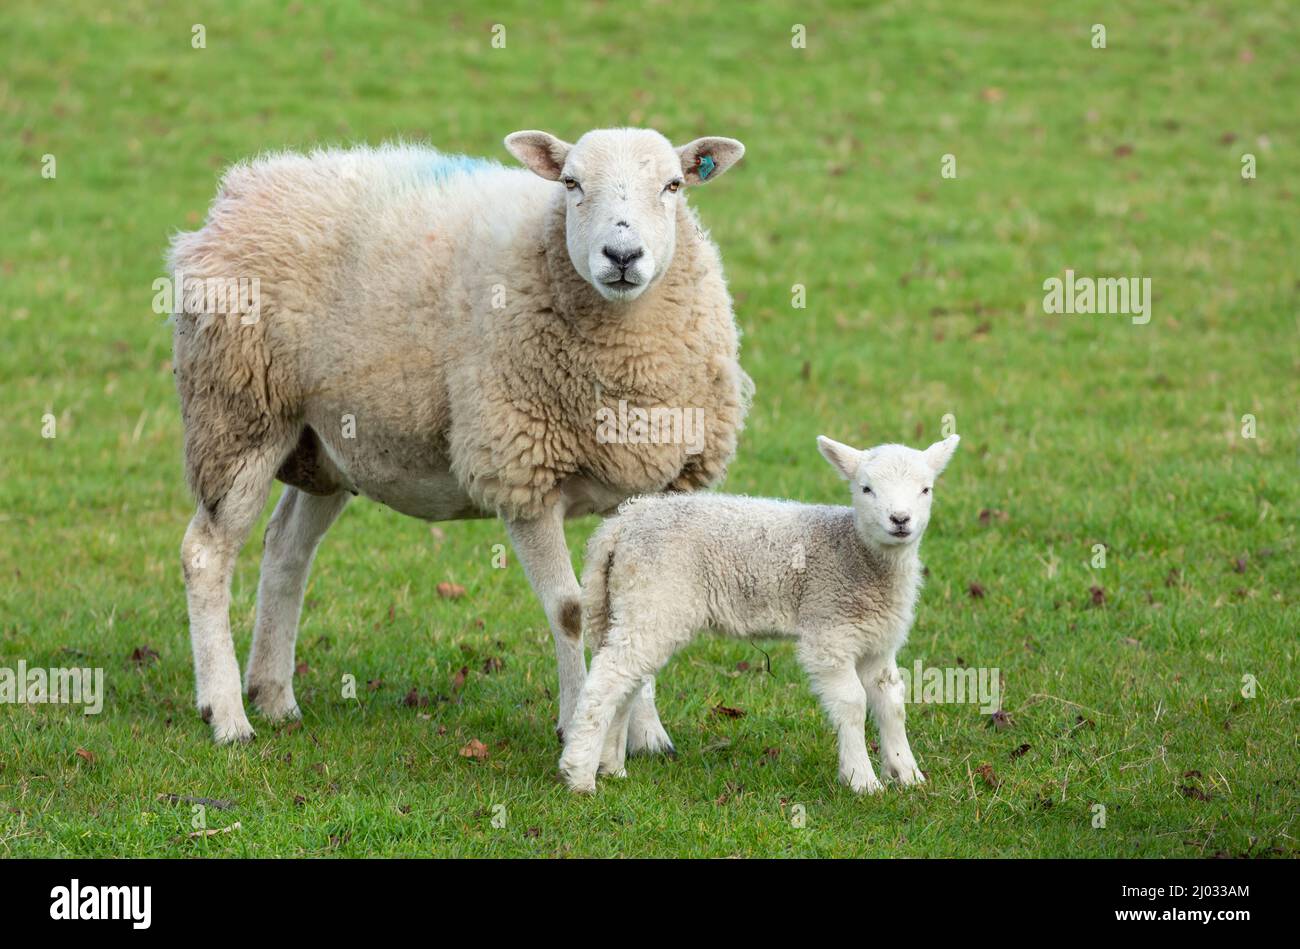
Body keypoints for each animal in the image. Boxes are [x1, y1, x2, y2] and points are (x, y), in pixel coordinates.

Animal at [168, 128, 751, 743]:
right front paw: (576, 724)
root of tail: (240, 192)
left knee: (285, 548)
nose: (621, 257)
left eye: (673, 185)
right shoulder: (522, 471)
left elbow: (633, 610)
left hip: (325, 441)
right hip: (238, 413)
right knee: (206, 554)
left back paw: (275, 695)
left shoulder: (654, 483)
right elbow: (568, 611)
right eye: (571, 183)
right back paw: (226, 714)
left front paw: (646, 736)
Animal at [558, 434, 960, 794]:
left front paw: (907, 775)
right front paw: (861, 780)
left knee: (625, 683)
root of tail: (620, 525)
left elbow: (892, 702)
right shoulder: (828, 631)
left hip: (629, 604)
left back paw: (611, 766)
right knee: (608, 679)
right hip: (653, 599)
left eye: (926, 489)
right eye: (866, 489)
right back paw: (580, 774)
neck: (856, 553)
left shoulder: (877, 641)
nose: (900, 519)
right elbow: (852, 703)